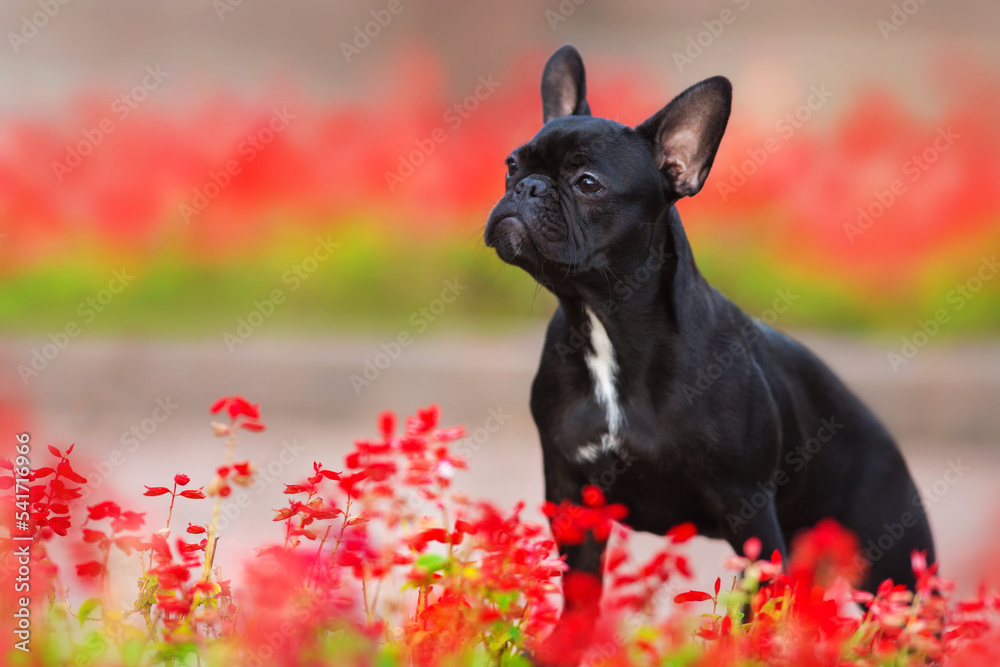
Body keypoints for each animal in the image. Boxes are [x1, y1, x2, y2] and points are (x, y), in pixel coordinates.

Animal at [486, 44, 936, 624]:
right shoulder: (573, 503)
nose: (528, 186)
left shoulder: (748, 513)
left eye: (587, 182)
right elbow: (580, 602)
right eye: (511, 165)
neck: (604, 323)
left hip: (898, 571)